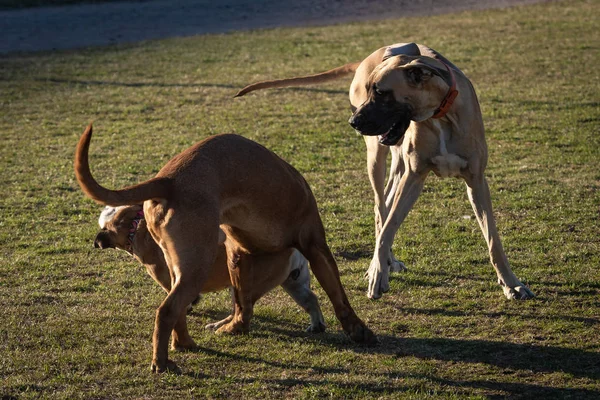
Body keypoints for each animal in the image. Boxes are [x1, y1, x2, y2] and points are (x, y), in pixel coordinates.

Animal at [94, 203, 326, 334]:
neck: (135, 226)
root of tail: (291, 245)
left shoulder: (167, 278)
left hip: (241, 285)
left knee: (241, 311)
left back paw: (218, 326)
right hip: (293, 282)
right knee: (310, 300)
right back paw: (317, 325)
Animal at [234, 43, 536, 300]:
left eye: (381, 92)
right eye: (370, 90)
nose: (353, 121)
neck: (439, 114)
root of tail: (370, 55)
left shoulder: (475, 180)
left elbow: (493, 239)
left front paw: (512, 284)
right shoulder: (414, 177)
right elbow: (389, 226)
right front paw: (377, 272)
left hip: (397, 162)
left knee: (387, 203)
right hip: (377, 158)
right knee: (381, 209)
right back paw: (381, 263)